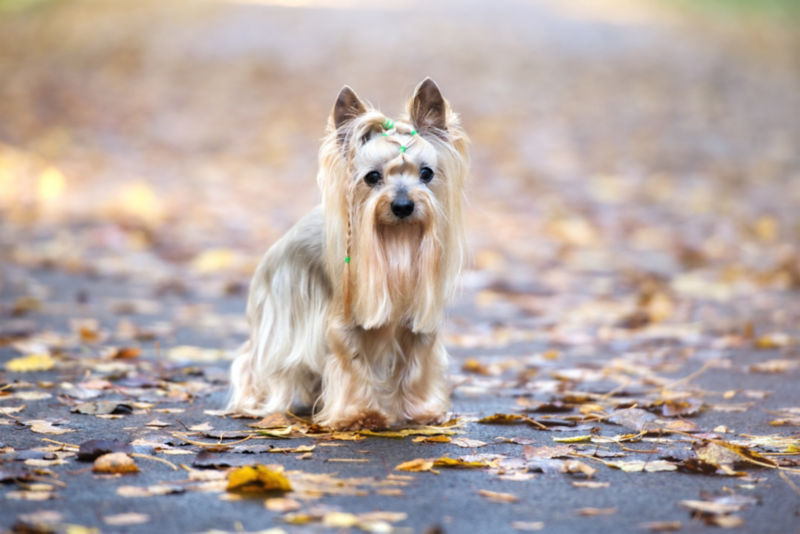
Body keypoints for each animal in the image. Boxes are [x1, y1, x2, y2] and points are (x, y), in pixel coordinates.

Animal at [225, 78, 468, 432]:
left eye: (426, 173)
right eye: (372, 177)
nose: (403, 205)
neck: (398, 240)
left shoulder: (419, 323)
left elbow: (417, 365)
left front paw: (422, 411)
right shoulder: (342, 323)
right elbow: (352, 363)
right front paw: (359, 415)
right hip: (281, 319)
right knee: (253, 360)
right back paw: (253, 401)